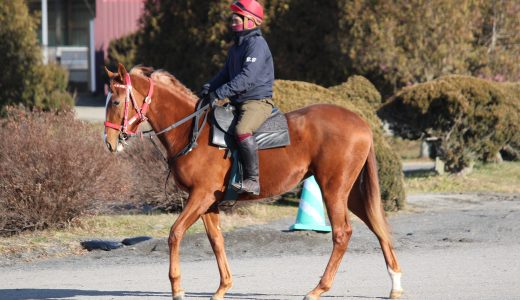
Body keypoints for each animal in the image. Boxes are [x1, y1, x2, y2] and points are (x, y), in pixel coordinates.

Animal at [101, 63, 402, 300]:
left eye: (115, 102)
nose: (110, 142)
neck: (192, 130)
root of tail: (360, 122)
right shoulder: (208, 202)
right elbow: (216, 240)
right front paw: (223, 287)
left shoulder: (200, 196)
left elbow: (175, 233)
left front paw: (177, 288)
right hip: (350, 193)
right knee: (378, 226)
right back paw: (395, 283)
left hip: (333, 189)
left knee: (342, 234)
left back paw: (319, 288)